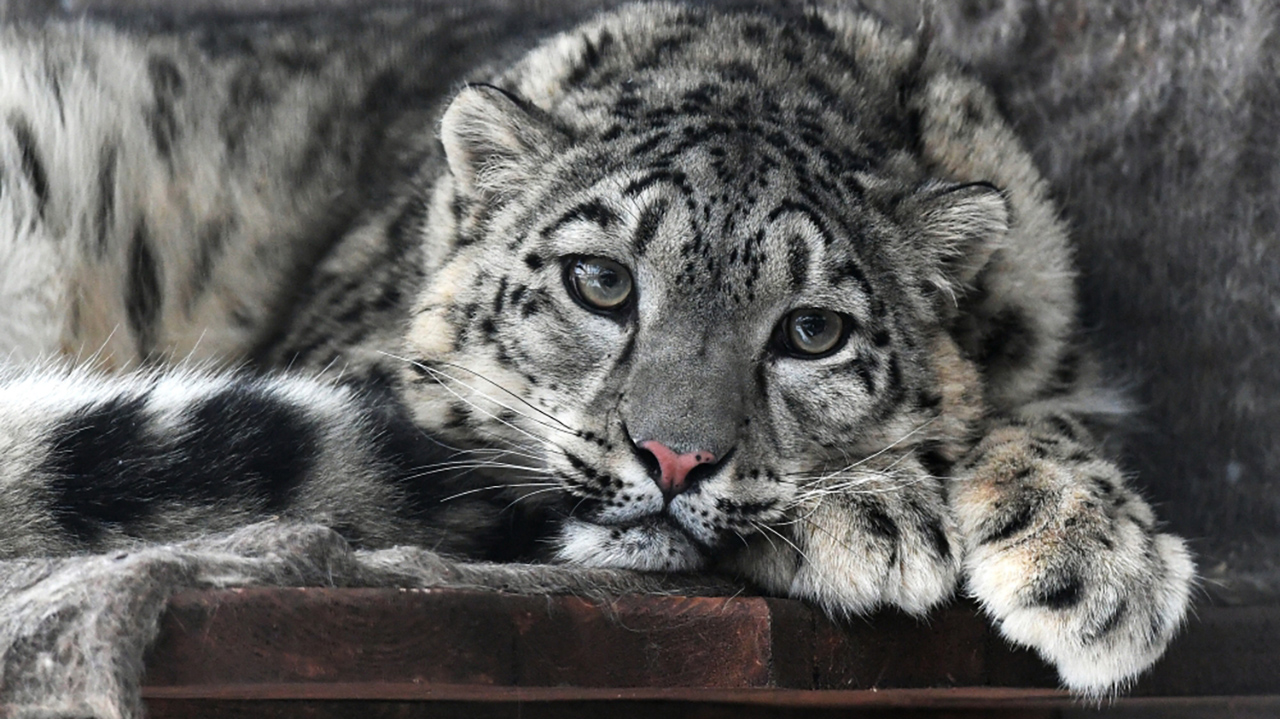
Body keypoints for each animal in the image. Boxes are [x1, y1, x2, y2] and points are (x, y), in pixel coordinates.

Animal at [0, 0, 1194, 696]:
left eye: (813, 330)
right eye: (601, 281)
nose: (673, 459)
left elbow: (1049, 411)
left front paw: (1093, 557)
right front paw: (874, 516)